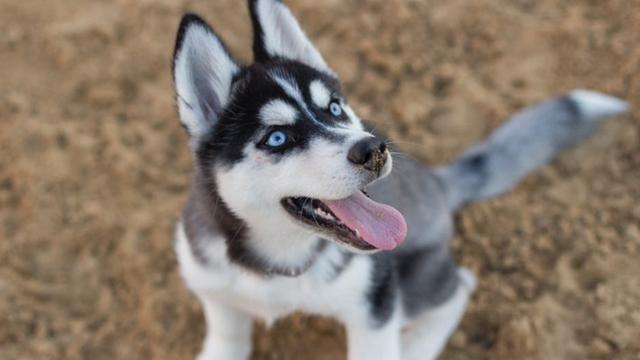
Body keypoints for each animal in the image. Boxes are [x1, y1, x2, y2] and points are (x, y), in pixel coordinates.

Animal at [171, 1, 632, 358]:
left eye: (334, 108)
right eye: (278, 137)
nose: (373, 148)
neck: (280, 263)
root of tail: (437, 182)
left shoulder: (374, 305)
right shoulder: (211, 285)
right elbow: (226, 332)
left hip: (409, 286)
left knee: (460, 286)